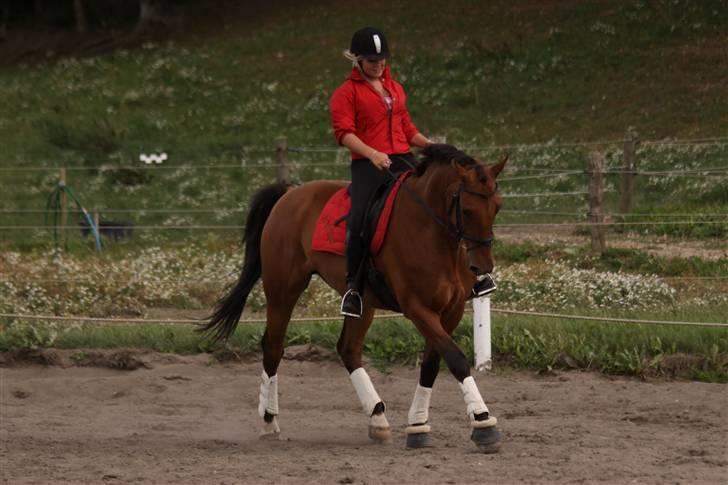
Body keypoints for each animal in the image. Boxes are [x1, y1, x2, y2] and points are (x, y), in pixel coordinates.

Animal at [203, 143, 506, 450]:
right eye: (467, 210)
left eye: (497, 207)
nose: (483, 266)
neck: (431, 233)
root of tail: (290, 193)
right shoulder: (418, 308)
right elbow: (455, 358)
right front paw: (483, 422)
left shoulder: (451, 310)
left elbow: (432, 364)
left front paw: (418, 425)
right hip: (282, 290)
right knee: (273, 347)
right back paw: (268, 421)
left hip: (362, 301)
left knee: (348, 348)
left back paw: (377, 418)